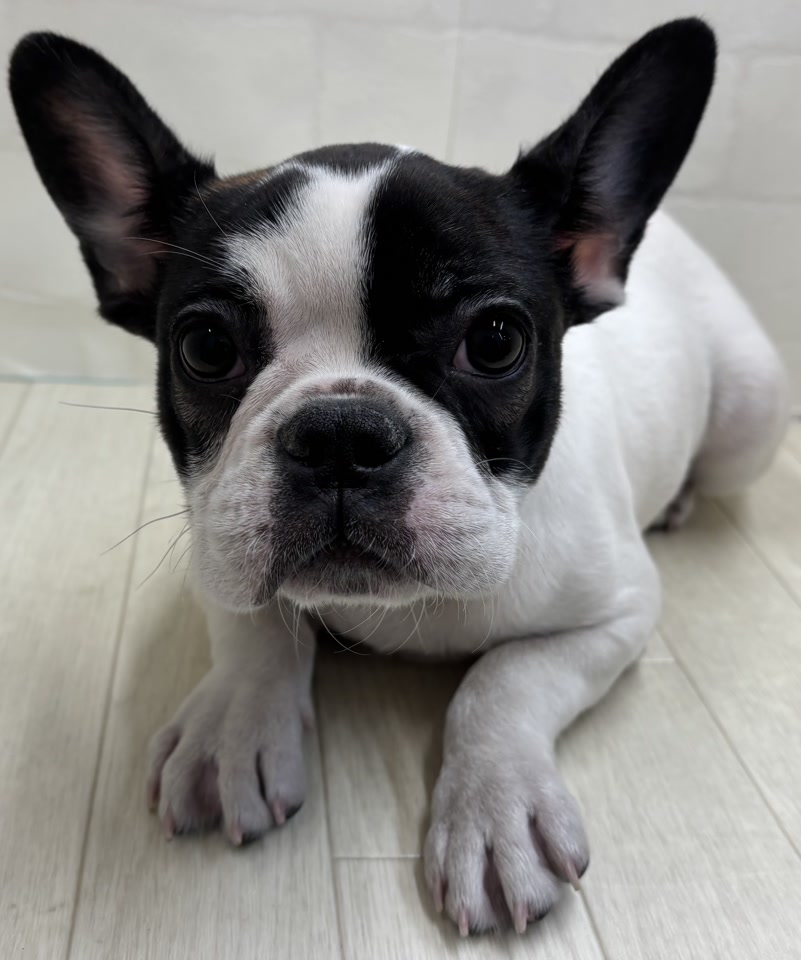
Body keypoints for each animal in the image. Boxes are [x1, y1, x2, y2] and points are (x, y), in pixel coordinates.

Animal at [10, 20, 790, 936]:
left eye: (494, 340)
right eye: (205, 346)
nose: (341, 434)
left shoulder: (617, 614)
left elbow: (502, 681)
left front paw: (494, 811)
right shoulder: (217, 544)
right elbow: (256, 627)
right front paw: (231, 729)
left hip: (750, 412)